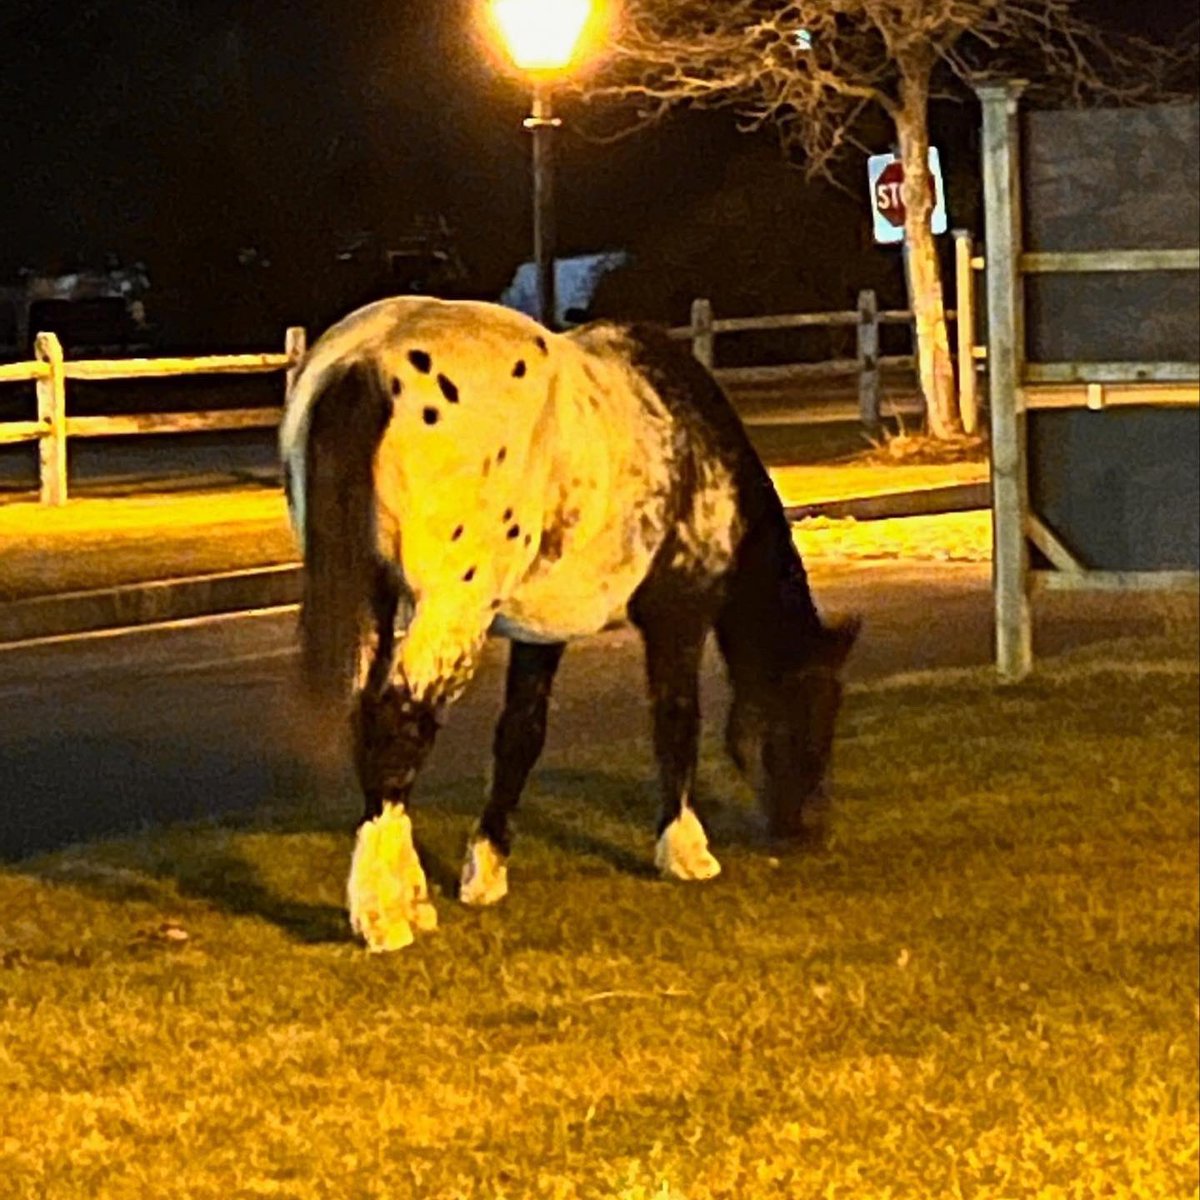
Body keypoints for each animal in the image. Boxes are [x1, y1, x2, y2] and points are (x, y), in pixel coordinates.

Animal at [280, 297, 859, 951]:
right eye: (814, 705)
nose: (808, 828)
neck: (693, 439)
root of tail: (367, 362)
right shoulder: (680, 612)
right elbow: (676, 721)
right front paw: (686, 853)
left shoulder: (540, 633)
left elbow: (520, 736)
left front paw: (485, 875)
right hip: (452, 608)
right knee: (398, 721)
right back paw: (384, 919)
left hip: (375, 596)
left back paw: (410, 900)